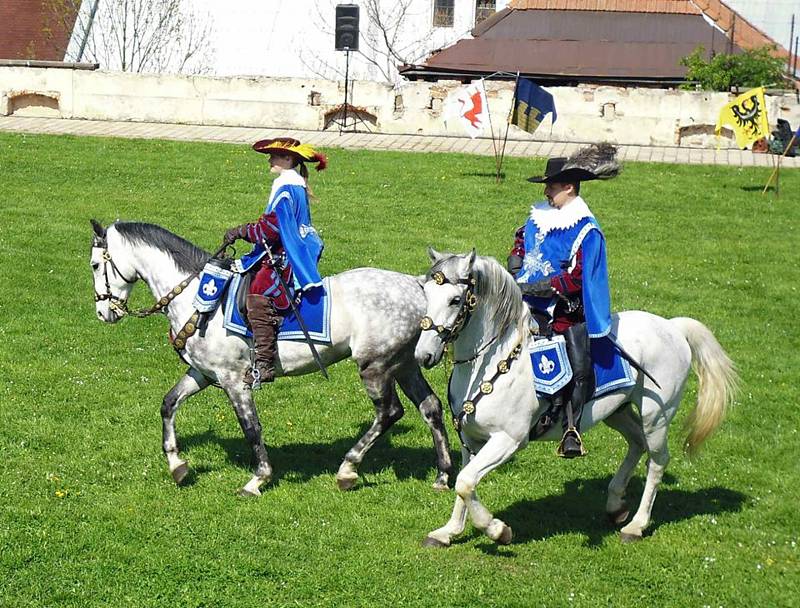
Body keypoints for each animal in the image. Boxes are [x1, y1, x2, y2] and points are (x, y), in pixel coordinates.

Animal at [90, 221, 454, 496]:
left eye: (95, 265)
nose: (103, 312)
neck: (197, 296)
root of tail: (417, 285)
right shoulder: (203, 373)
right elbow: (168, 404)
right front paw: (177, 465)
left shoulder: (234, 380)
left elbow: (251, 427)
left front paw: (258, 478)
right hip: (405, 364)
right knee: (431, 407)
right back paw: (442, 475)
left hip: (375, 367)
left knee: (389, 412)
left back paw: (348, 469)